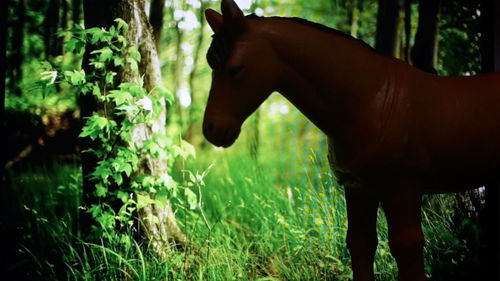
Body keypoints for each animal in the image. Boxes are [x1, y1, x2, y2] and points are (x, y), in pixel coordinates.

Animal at [202, 1, 500, 278]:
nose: (211, 129)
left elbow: (406, 247)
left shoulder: (402, 188)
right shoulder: (358, 188)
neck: (373, 101)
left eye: (236, 69)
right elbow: (360, 243)